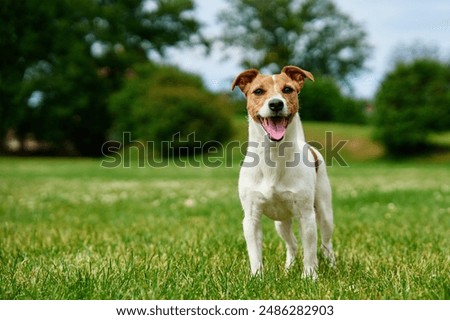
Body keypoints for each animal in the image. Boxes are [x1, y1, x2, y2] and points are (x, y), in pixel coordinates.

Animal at [232, 65, 334, 278]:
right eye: (258, 91)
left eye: (288, 89)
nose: (276, 104)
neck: (274, 157)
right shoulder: (251, 218)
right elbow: (255, 253)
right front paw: (257, 277)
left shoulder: (306, 216)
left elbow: (310, 252)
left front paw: (309, 277)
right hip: (281, 223)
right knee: (292, 244)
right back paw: (288, 268)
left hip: (324, 211)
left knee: (326, 244)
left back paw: (332, 265)